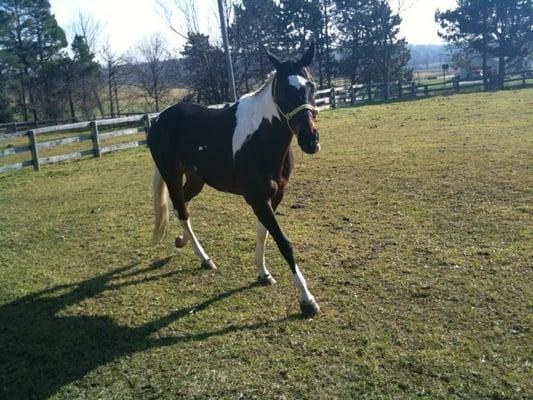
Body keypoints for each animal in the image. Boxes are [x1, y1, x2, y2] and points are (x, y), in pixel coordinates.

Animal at [145, 43, 320, 318]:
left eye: (311, 86)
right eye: (283, 90)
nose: (310, 140)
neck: (261, 138)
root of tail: (159, 120)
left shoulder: (274, 196)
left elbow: (263, 233)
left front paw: (263, 273)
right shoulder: (257, 198)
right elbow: (284, 242)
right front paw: (307, 300)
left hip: (196, 179)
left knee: (181, 204)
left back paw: (182, 241)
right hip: (171, 175)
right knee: (182, 210)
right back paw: (205, 259)